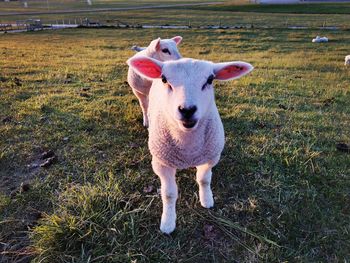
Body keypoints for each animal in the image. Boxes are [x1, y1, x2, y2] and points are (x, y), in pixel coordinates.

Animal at [127, 55, 253, 233]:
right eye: (164, 79)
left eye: (210, 80)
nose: (187, 110)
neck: (188, 148)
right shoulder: (161, 164)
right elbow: (169, 194)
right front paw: (168, 222)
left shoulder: (210, 157)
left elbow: (204, 180)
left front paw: (206, 200)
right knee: (144, 106)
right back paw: (146, 121)